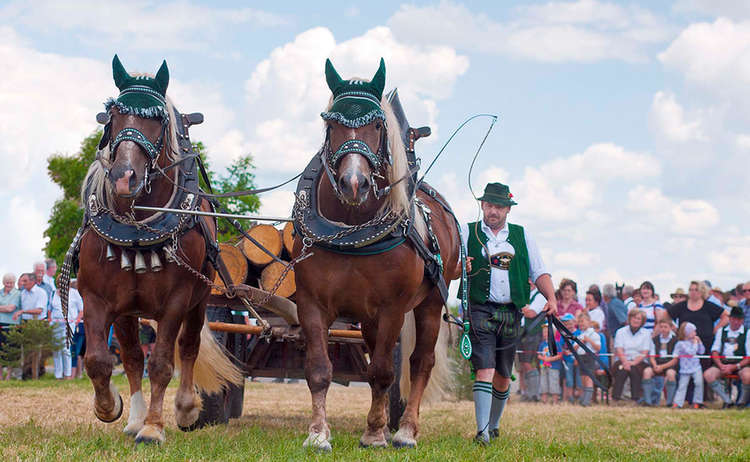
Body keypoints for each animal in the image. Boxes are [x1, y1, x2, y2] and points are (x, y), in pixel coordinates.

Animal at [74, 56, 241, 446]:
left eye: (158, 119)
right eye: (114, 115)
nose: (124, 177)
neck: (138, 228)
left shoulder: (176, 301)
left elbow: (163, 361)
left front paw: (154, 427)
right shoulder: (96, 298)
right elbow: (100, 360)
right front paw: (111, 408)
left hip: (200, 299)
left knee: (189, 347)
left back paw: (184, 408)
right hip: (128, 310)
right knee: (132, 356)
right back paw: (134, 418)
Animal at [296, 57, 464, 452]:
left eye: (376, 124)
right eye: (331, 124)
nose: (353, 183)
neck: (351, 231)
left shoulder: (392, 308)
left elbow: (385, 371)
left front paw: (374, 434)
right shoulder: (311, 303)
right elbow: (319, 370)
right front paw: (318, 433)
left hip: (430, 302)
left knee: (420, 362)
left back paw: (404, 431)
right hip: (369, 317)